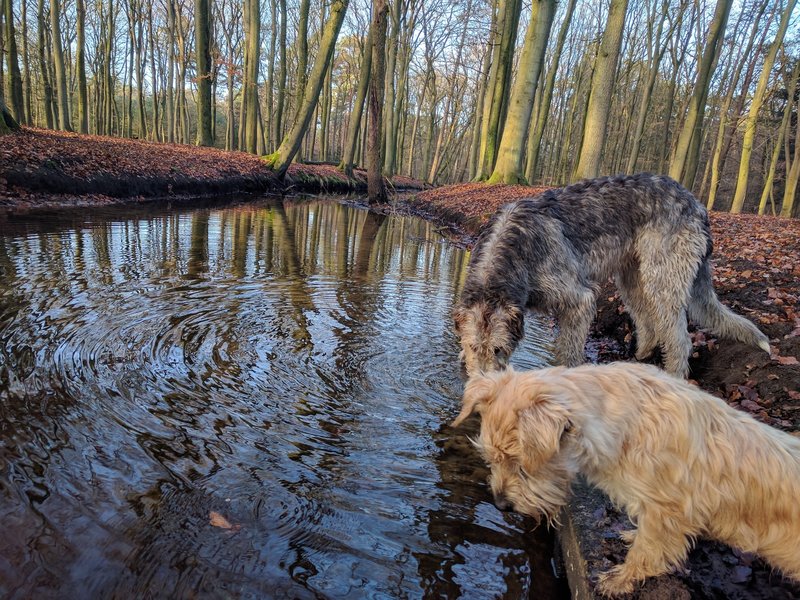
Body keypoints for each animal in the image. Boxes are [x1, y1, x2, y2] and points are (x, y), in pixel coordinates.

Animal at [454, 172, 772, 376]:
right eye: (472, 347)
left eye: (498, 349)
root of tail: (698, 205)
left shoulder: (578, 299)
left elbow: (569, 348)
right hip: (632, 275)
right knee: (647, 321)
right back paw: (639, 356)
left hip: (664, 275)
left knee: (679, 338)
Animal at [454, 360, 800, 596]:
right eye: (491, 459)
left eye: (521, 466)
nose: (501, 506)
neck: (624, 427)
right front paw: (632, 537)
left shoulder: (667, 511)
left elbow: (648, 550)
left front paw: (620, 580)